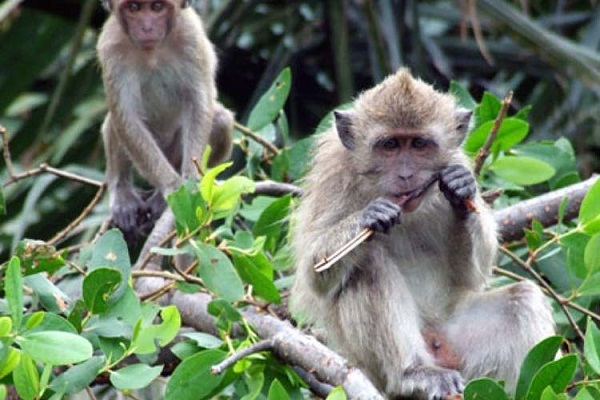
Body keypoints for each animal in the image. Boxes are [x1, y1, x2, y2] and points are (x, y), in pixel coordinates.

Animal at [96, 0, 232, 248]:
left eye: (157, 7)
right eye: (134, 8)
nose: (147, 27)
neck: (153, 52)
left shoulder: (191, 36)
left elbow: (198, 102)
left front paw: (190, 179)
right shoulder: (110, 46)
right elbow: (127, 119)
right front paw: (172, 188)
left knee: (221, 121)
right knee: (114, 124)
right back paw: (123, 194)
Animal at [288, 69, 556, 400]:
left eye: (418, 144)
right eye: (390, 145)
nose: (406, 175)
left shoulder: (455, 162)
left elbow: (471, 275)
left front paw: (460, 192)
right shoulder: (334, 177)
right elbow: (314, 274)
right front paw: (369, 217)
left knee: (523, 300)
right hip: (376, 369)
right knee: (367, 264)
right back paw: (412, 374)